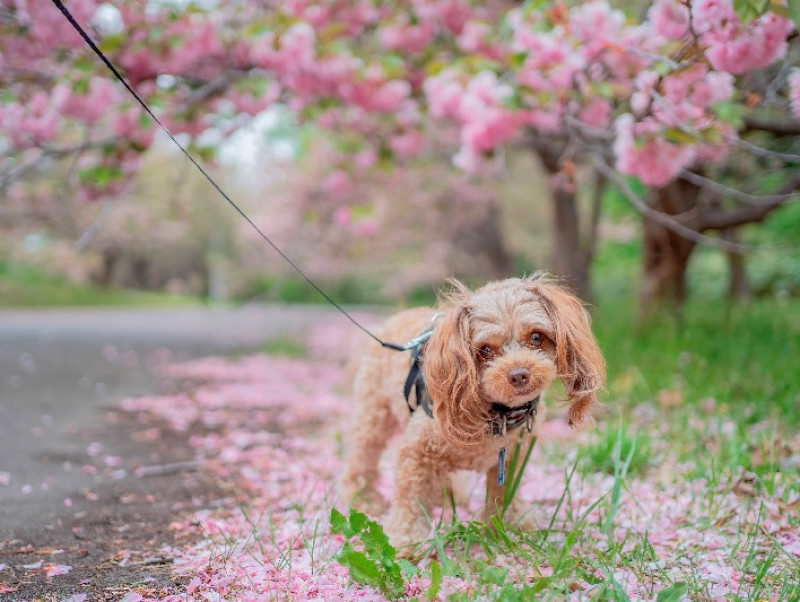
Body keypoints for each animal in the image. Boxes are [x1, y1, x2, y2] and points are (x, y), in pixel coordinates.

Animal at [340, 274, 608, 552]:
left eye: (536, 337)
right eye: (485, 350)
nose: (519, 374)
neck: (497, 415)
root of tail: (402, 314)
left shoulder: (514, 456)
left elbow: (505, 492)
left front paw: (508, 527)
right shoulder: (417, 450)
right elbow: (410, 498)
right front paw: (407, 539)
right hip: (373, 413)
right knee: (363, 454)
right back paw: (362, 497)